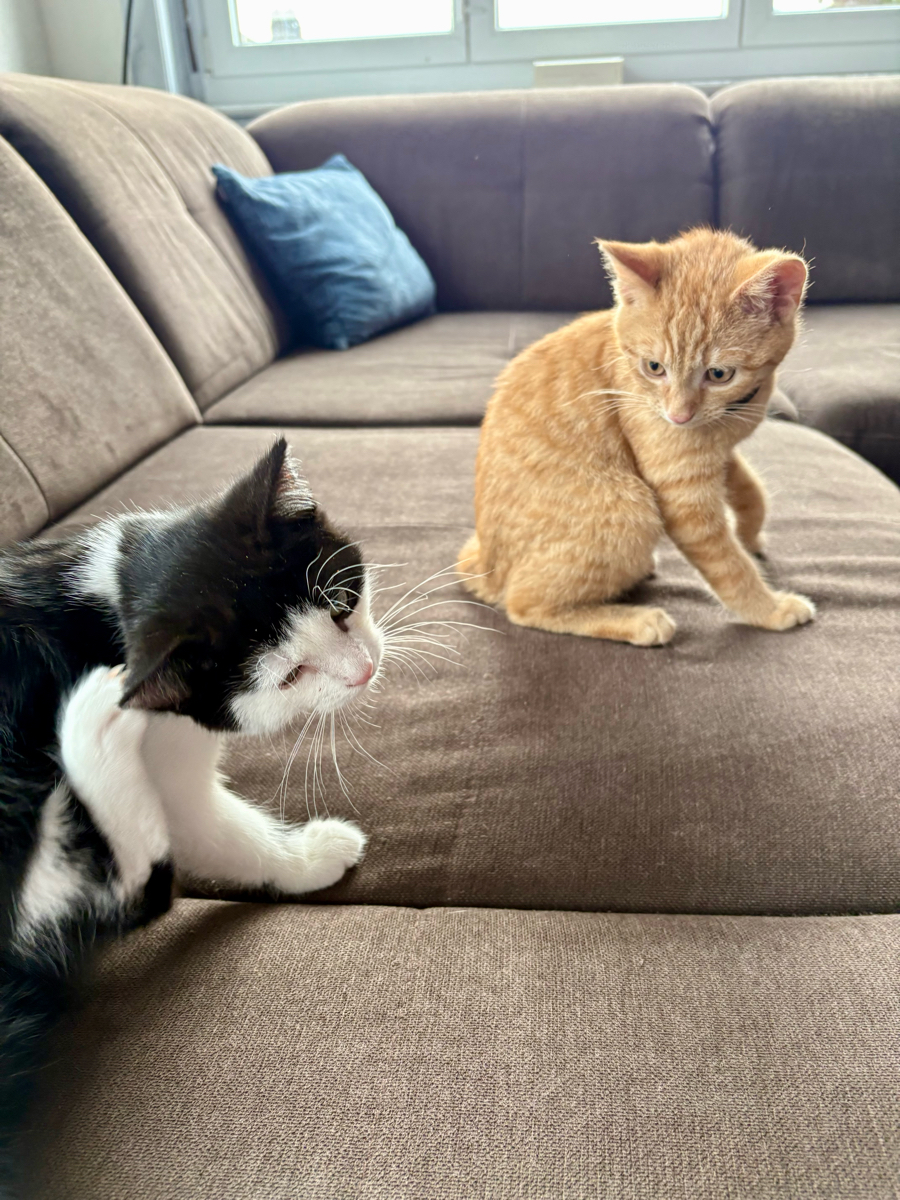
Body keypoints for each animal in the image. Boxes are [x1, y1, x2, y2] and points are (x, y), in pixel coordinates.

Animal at [0, 438, 383, 1180]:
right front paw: (310, 857)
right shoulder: (162, 742)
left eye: (342, 604)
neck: (111, 599)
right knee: (119, 893)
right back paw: (89, 727)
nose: (364, 671)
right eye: (288, 676)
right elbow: (210, 826)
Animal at [458, 228, 815, 646]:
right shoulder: (682, 492)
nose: (678, 417)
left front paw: (751, 535)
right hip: (631, 508)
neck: (733, 414)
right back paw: (638, 621)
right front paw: (769, 609)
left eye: (719, 374)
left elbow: (750, 490)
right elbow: (729, 567)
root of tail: (485, 565)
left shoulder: (720, 454)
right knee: (524, 604)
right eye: (654, 367)